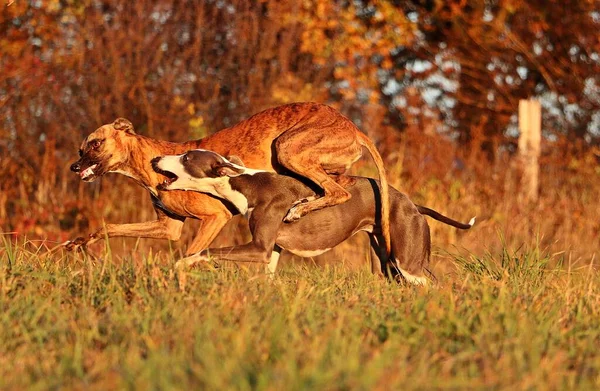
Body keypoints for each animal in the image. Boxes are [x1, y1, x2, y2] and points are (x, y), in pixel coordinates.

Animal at [65, 102, 392, 256]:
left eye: (95, 144)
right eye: (80, 149)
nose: (74, 167)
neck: (152, 160)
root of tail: (353, 127)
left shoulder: (214, 217)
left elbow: (192, 252)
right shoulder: (167, 228)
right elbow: (109, 227)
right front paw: (80, 241)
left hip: (286, 148)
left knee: (339, 191)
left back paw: (299, 209)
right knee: (335, 184)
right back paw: (302, 203)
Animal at [151, 150, 474, 284]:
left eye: (186, 157)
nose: (155, 159)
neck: (248, 184)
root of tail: (414, 206)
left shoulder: (259, 248)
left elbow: (205, 251)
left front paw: (181, 264)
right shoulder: (272, 250)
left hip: (408, 263)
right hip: (385, 260)